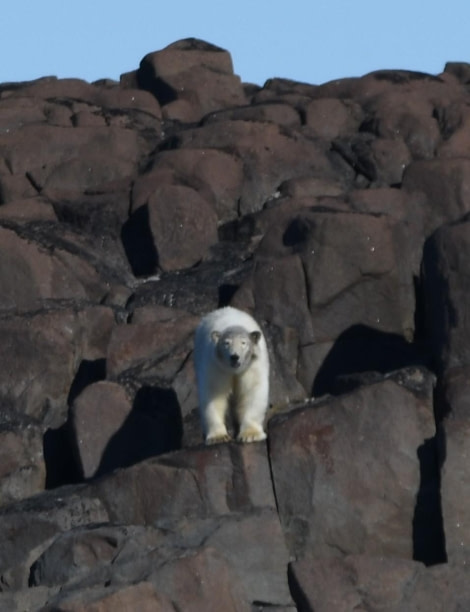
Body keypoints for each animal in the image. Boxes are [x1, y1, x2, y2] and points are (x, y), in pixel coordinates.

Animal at [194, 306, 268, 444]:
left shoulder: (252, 366)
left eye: (244, 343)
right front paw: (218, 436)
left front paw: (250, 434)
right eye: (226, 343)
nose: (234, 357)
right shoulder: (216, 366)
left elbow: (252, 390)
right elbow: (214, 393)